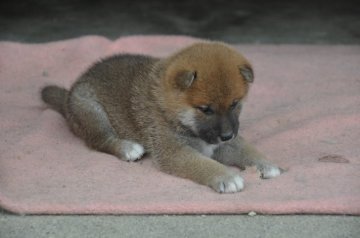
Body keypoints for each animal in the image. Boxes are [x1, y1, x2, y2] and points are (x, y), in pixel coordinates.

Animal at [40, 41, 282, 193]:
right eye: (205, 109)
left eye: (235, 104)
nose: (227, 135)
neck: (172, 111)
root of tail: (69, 95)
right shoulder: (173, 152)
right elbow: (202, 163)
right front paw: (226, 176)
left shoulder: (221, 145)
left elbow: (247, 150)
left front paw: (264, 163)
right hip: (91, 110)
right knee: (99, 140)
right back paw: (127, 148)